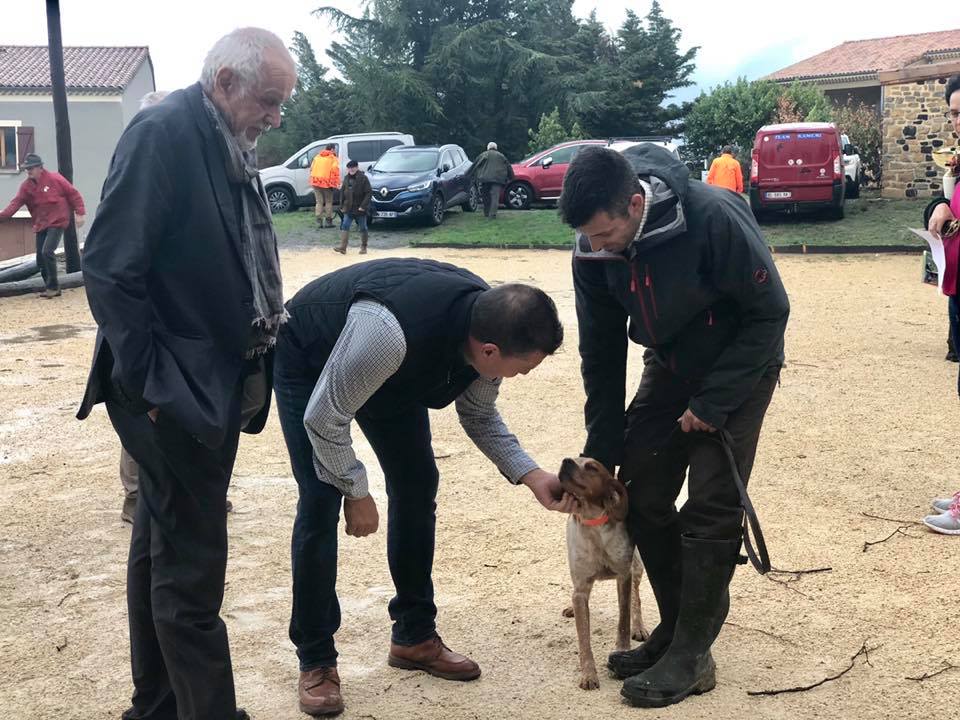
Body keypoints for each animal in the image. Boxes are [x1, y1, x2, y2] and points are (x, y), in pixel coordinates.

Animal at [560, 458, 648, 688]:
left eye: (592, 467)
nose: (565, 460)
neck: (593, 524)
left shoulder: (624, 576)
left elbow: (624, 621)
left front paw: (622, 651)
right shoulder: (581, 588)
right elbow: (583, 636)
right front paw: (589, 674)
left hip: (637, 566)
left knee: (636, 598)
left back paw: (639, 627)